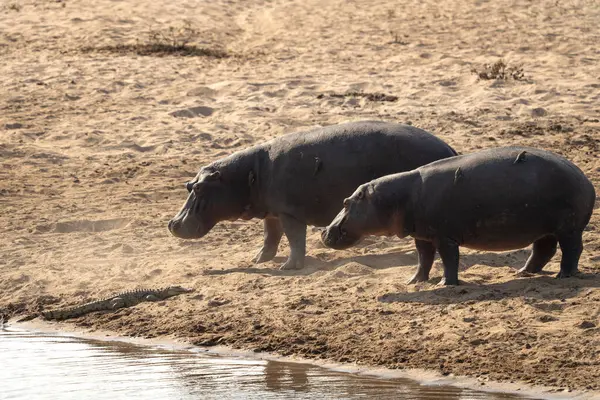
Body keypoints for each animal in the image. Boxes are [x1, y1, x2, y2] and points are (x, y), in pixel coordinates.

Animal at [166, 120, 458, 270]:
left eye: (199, 188)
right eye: (189, 185)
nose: (172, 224)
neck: (245, 174)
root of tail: (450, 148)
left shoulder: (290, 213)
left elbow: (295, 239)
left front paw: (288, 268)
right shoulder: (272, 212)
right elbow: (270, 236)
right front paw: (259, 259)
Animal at [322, 147, 592, 284]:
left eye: (346, 202)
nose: (324, 231)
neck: (397, 196)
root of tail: (584, 177)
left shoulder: (445, 237)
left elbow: (449, 260)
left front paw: (445, 284)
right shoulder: (423, 236)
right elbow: (423, 259)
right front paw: (414, 282)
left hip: (568, 228)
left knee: (572, 250)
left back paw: (563, 275)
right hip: (544, 229)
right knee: (544, 250)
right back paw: (522, 272)